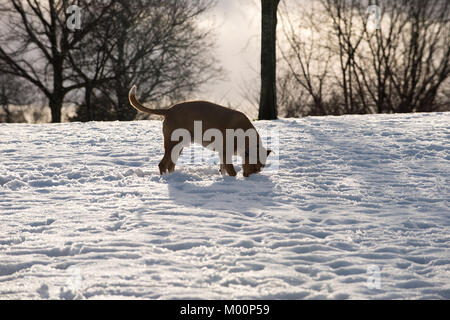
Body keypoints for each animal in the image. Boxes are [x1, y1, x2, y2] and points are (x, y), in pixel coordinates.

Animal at [128, 85, 272, 178]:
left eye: (259, 169)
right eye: (254, 167)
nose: (248, 177)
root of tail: (168, 110)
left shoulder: (222, 155)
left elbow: (223, 169)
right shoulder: (226, 153)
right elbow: (231, 171)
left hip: (179, 146)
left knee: (170, 165)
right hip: (172, 144)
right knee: (162, 165)